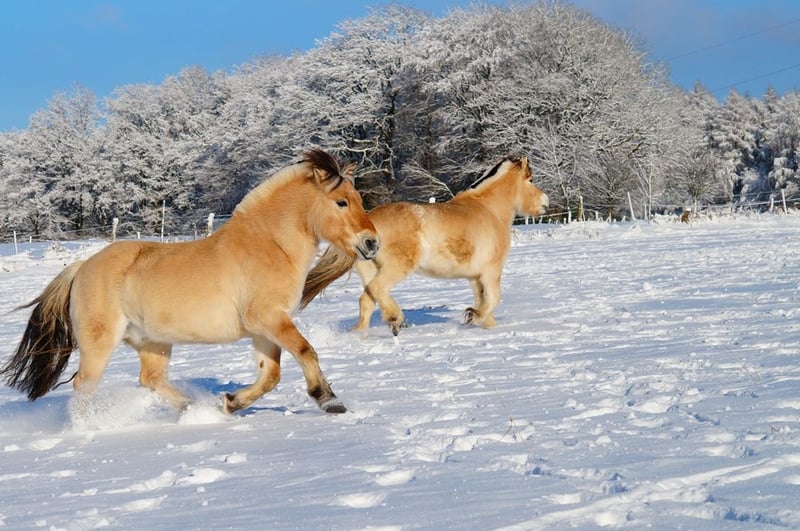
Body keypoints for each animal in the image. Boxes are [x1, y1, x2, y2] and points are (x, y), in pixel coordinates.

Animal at [1, 150, 379, 416]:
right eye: (341, 202)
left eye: (359, 200)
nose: (372, 243)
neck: (270, 245)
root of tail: (82, 267)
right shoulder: (269, 318)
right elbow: (304, 350)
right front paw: (330, 401)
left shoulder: (265, 328)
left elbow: (270, 375)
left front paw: (229, 402)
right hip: (100, 344)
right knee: (84, 386)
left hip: (153, 342)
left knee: (151, 379)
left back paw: (195, 409)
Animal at [301, 156, 548, 336]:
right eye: (531, 180)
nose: (544, 202)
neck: (489, 211)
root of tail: (368, 223)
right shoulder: (491, 271)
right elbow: (492, 299)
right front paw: (472, 317)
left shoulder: (475, 277)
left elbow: (484, 302)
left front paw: (485, 325)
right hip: (397, 267)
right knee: (377, 290)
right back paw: (396, 319)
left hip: (370, 269)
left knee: (367, 299)